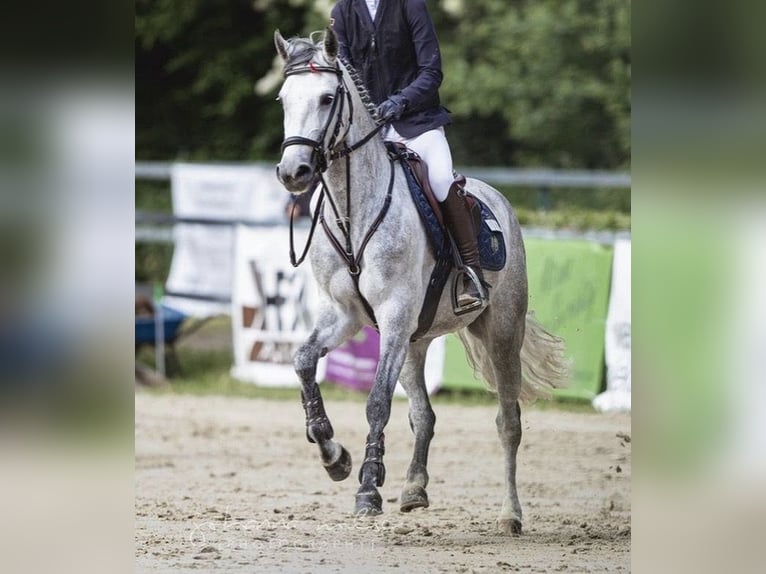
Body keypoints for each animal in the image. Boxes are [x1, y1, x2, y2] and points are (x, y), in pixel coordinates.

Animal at [272, 29, 568, 536]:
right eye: (283, 100)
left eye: (328, 98)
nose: (294, 173)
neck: (354, 210)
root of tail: (498, 200)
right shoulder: (343, 315)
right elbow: (303, 362)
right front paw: (333, 454)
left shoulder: (392, 315)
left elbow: (376, 403)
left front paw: (368, 488)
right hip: (415, 338)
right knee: (423, 415)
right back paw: (413, 489)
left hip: (500, 331)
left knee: (508, 423)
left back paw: (509, 515)